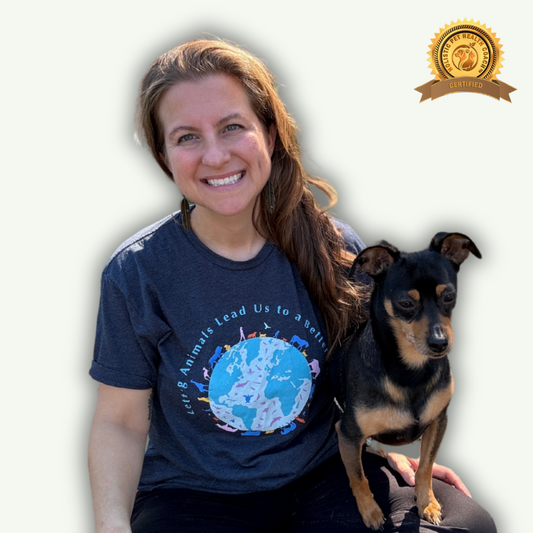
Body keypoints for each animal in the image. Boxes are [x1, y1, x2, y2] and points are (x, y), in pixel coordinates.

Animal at [332, 232, 478, 528]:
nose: (440, 343)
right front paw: (371, 513)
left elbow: (425, 467)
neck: (410, 370)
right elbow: (359, 478)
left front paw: (427, 504)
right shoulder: (348, 435)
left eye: (449, 296)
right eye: (406, 303)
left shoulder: (438, 422)